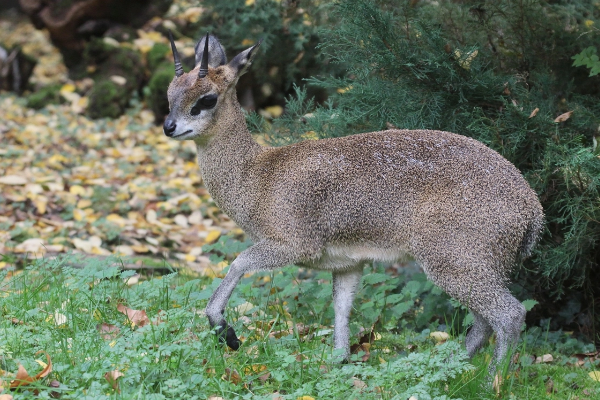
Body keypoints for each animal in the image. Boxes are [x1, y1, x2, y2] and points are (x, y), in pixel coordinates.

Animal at [163, 32, 544, 370]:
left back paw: (493, 380)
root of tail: (533, 211)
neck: (259, 177)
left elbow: (239, 262)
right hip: (476, 267)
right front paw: (339, 360)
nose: (168, 126)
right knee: (483, 323)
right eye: (170, 94)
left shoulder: (294, 243)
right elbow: (341, 308)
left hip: (454, 261)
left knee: (509, 315)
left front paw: (225, 331)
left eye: (206, 99)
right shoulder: (347, 263)